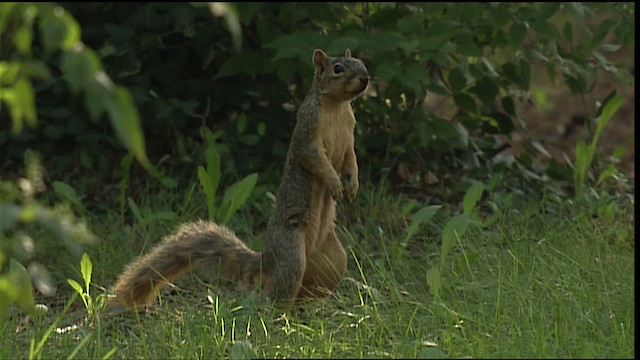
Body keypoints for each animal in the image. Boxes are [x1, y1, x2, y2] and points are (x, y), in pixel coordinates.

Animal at [110, 48, 370, 310]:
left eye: (360, 62)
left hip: (333, 260)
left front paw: (353, 185)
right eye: (338, 68)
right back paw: (285, 317)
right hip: (292, 255)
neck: (337, 106)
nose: (365, 79)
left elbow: (351, 160)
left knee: (304, 294)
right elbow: (315, 159)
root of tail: (268, 261)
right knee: (280, 297)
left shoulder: (349, 137)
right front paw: (335, 183)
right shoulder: (307, 132)